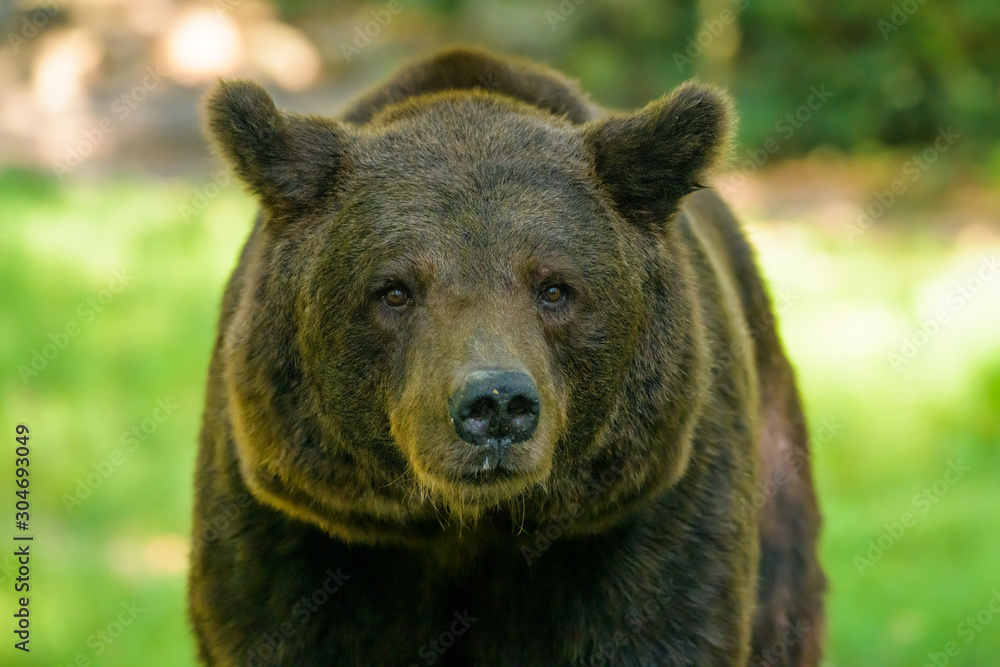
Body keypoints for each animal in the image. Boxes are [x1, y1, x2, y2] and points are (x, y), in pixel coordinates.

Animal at [191, 48, 824, 667]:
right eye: (394, 290)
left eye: (555, 288)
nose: (496, 403)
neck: (470, 529)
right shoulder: (297, 529)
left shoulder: (652, 517)